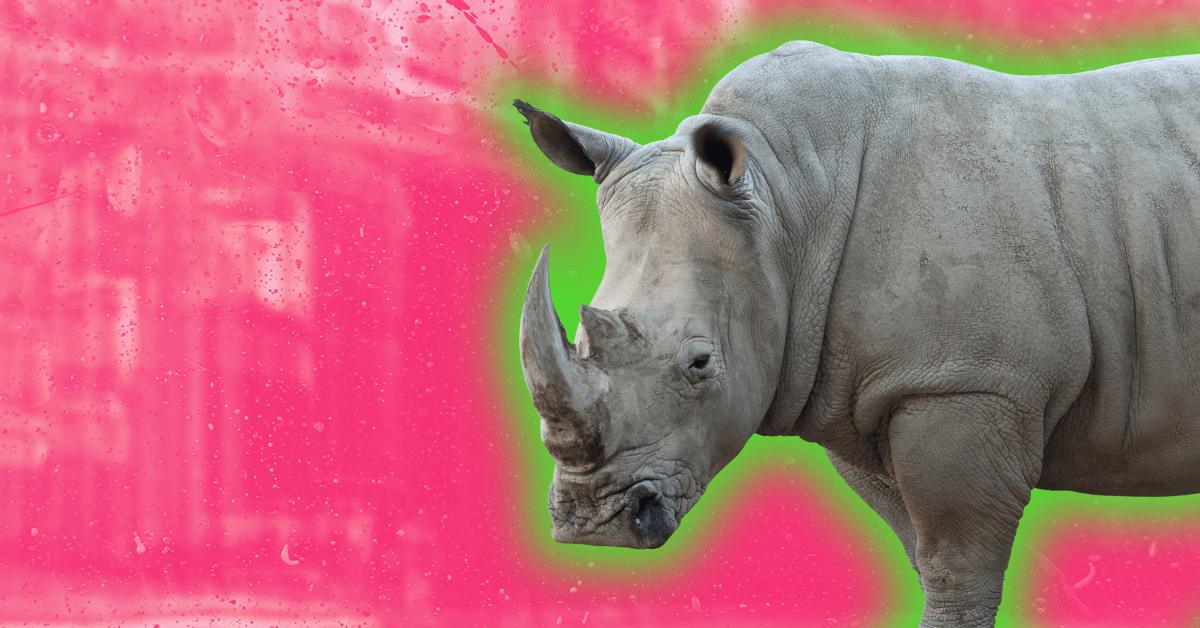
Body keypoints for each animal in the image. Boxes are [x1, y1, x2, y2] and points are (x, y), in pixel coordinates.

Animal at [514, 41, 1200, 627]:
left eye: (700, 363)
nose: (593, 524)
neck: (786, 202)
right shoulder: (869, 393)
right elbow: (923, 554)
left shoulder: (968, 382)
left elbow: (957, 568)